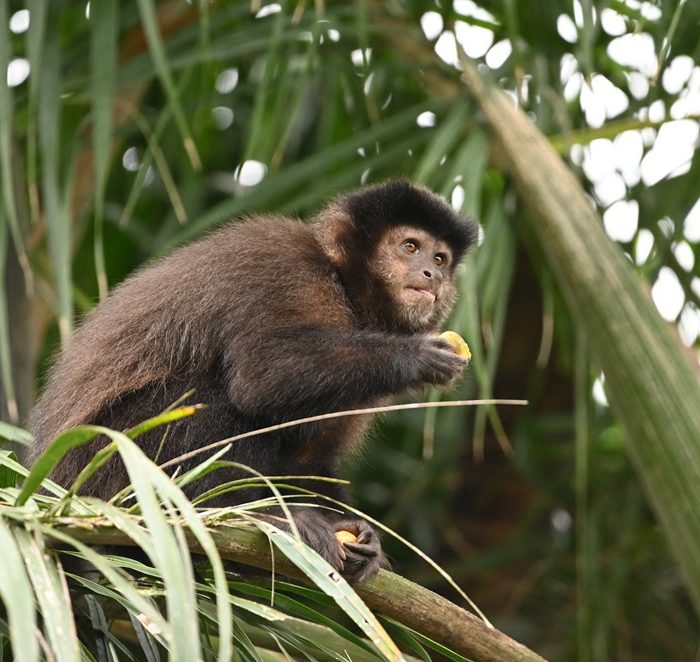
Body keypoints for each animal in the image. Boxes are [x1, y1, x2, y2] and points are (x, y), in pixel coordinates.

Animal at [28, 180, 478, 581]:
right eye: (410, 247)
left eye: (440, 258)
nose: (431, 274)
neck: (342, 284)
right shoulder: (286, 265)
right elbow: (261, 376)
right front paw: (414, 357)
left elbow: (307, 460)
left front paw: (360, 535)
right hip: (107, 466)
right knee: (212, 398)